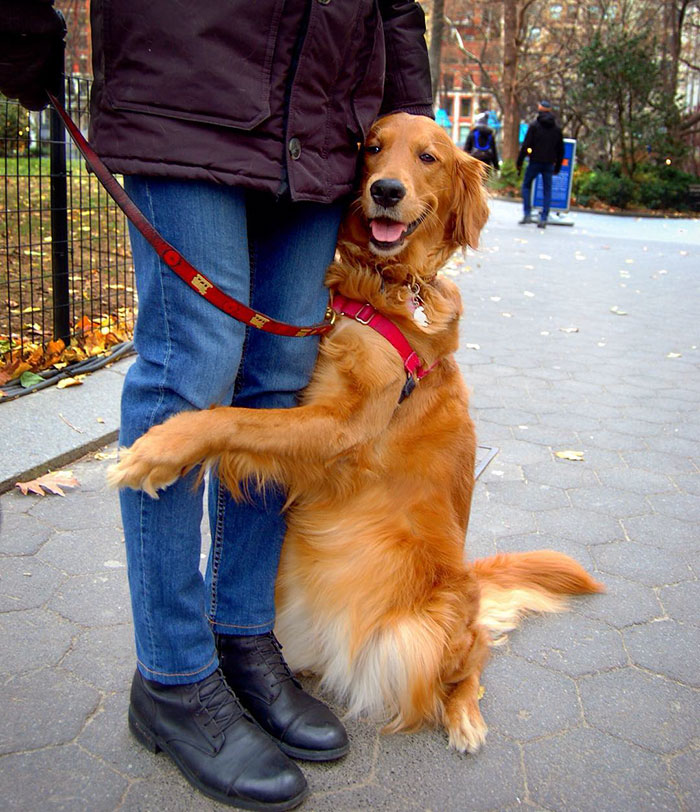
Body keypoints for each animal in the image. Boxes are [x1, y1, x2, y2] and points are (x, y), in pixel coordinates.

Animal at [109, 111, 600, 752]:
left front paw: (158, 450)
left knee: (472, 661)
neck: (381, 285)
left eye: (428, 157)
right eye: (371, 148)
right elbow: (244, 418)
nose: (385, 190)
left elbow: (235, 417)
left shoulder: (343, 428)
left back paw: (465, 716)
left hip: (428, 633)